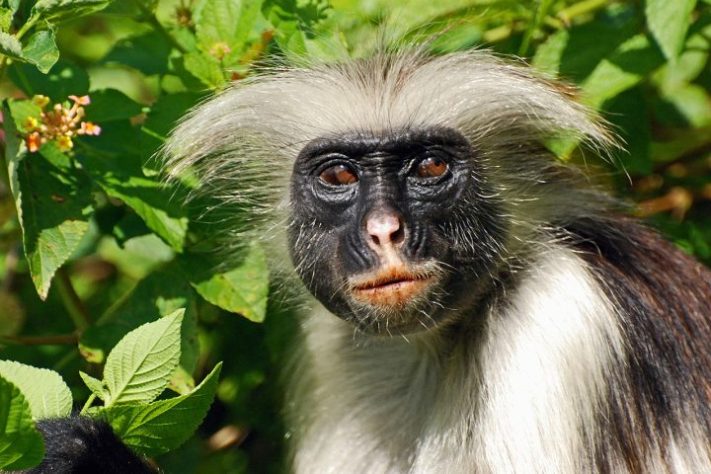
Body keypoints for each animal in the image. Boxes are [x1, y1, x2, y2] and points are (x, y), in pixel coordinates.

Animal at [163, 47, 711, 474]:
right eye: (339, 177)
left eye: (430, 166)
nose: (385, 231)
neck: (438, 346)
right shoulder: (332, 350)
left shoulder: (560, 316)